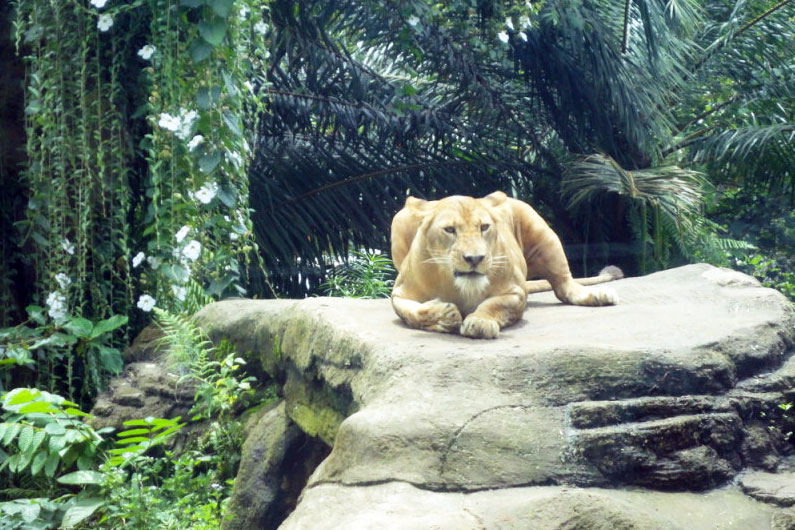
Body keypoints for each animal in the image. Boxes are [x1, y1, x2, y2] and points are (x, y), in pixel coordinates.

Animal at [390, 191, 622, 339]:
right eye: (450, 230)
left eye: (484, 227)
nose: (475, 258)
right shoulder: (399, 294)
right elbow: (413, 312)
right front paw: (446, 316)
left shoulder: (515, 291)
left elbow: (494, 304)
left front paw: (480, 322)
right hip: (399, 217)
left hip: (544, 234)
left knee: (565, 285)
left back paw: (598, 295)